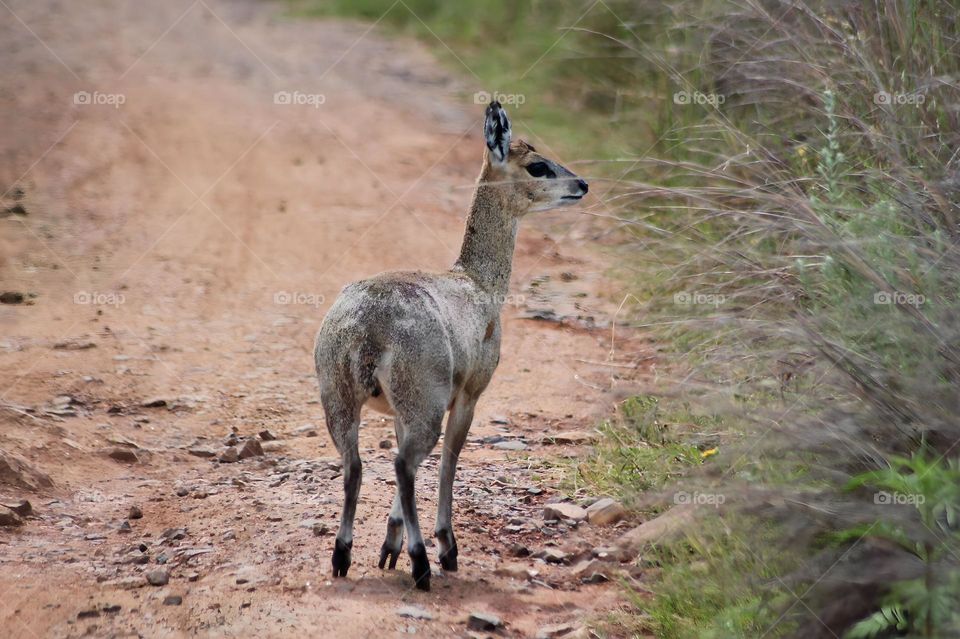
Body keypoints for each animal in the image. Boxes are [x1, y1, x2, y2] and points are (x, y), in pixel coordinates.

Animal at [316, 100, 588, 592]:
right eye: (537, 165)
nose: (581, 184)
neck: (479, 283)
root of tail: (366, 325)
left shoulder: (399, 412)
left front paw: (388, 546)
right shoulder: (468, 396)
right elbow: (450, 460)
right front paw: (445, 549)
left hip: (343, 401)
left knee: (357, 466)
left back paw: (344, 556)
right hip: (423, 407)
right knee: (404, 466)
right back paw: (425, 562)